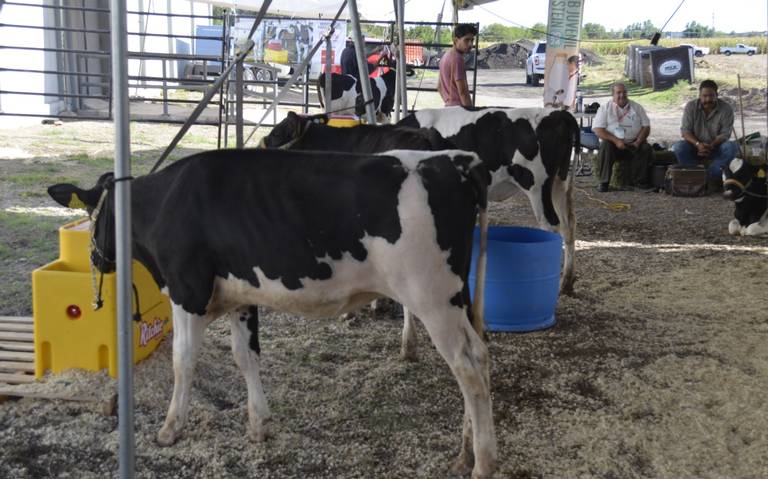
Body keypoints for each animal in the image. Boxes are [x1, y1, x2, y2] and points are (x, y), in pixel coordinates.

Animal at [51, 148, 500, 478]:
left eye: (91, 217)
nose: (97, 260)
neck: (164, 203)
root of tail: (457, 161)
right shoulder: (240, 295)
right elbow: (245, 356)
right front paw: (258, 425)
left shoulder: (187, 290)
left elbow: (183, 360)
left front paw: (169, 429)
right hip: (456, 297)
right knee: (480, 356)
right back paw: (464, 453)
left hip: (432, 298)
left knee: (468, 367)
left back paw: (483, 462)